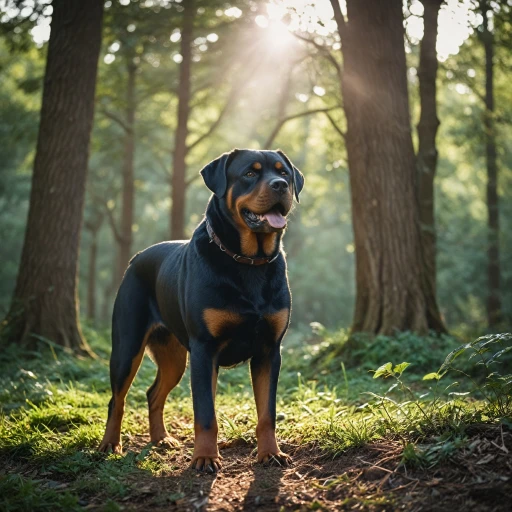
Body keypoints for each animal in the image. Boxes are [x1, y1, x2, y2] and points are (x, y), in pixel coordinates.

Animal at [100, 148, 304, 472]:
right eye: (250, 173)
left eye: (283, 172)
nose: (280, 186)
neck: (248, 263)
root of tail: (136, 258)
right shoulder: (205, 350)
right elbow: (206, 414)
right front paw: (205, 457)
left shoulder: (269, 350)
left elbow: (267, 414)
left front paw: (270, 453)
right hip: (127, 347)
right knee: (117, 399)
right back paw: (109, 444)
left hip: (174, 357)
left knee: (153, 393)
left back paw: (161, 439)